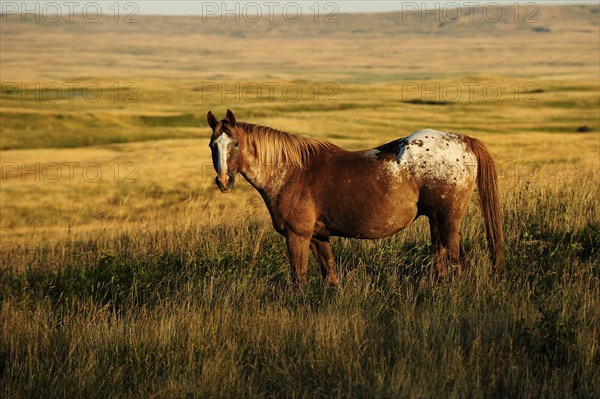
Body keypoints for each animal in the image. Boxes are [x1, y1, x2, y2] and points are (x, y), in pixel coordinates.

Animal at [206, 109, 502, 286]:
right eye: (212, 145)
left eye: (235, 143)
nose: (223, 181)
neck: (290, 173)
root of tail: (465, 141)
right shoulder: (319, 236)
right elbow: (331, 276)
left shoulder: (297, 235)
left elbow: (299, 279)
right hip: (436, 221)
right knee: (441, 261)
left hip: (449, 221)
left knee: (459, 261)